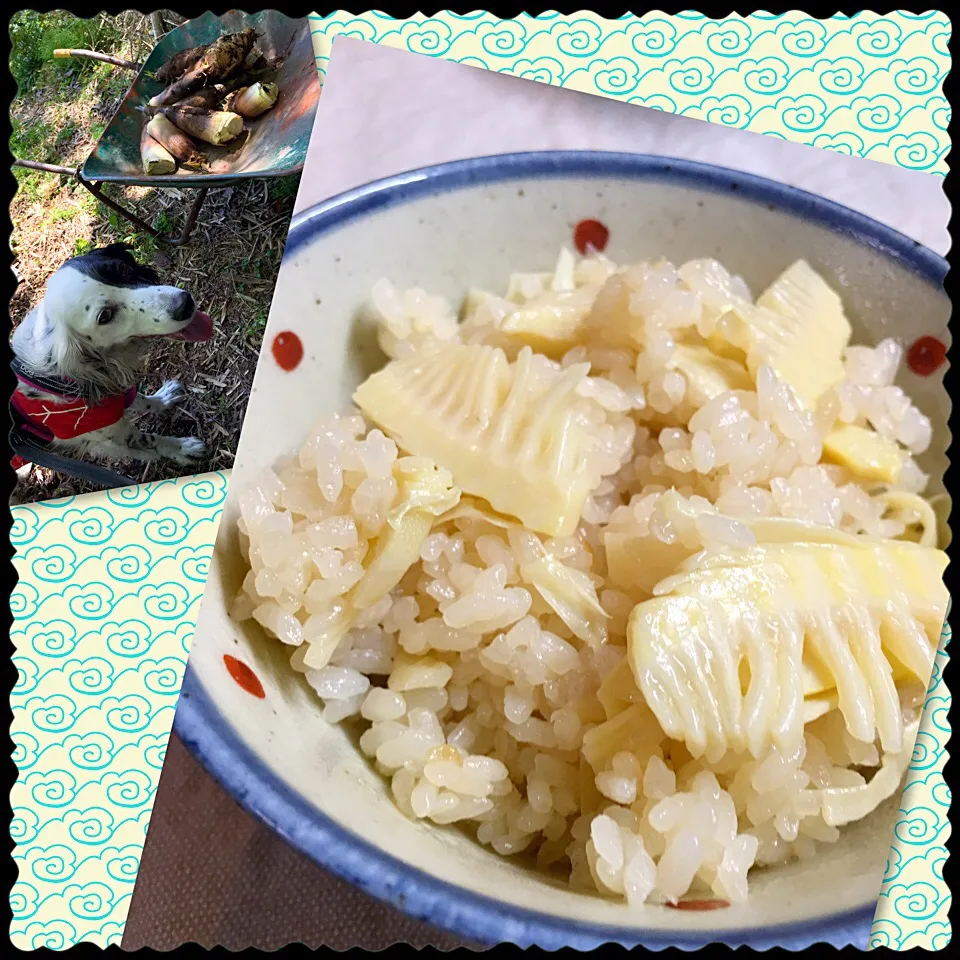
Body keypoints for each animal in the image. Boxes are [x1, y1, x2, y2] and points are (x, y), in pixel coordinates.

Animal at [11, 244, 214, 476]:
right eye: (104, 316)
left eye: (124, 269)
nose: (184, 304)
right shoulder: (116, 436)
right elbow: (152, 440)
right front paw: (181, 448)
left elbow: (141, 400)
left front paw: (162, 399)